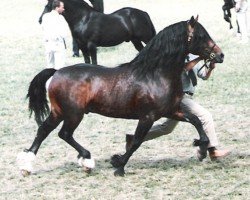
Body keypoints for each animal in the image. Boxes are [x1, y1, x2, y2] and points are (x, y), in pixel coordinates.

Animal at [18, 16, 225, 177]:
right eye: (201, 36)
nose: (220, 55)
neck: (155, 75)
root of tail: (57, 72)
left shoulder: (171, 111)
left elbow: (196, 121)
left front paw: (201, 147)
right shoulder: (148, 116)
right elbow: (136, 141)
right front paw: (119, 166)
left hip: (59, 112)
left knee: (43, 131)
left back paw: (27, 166)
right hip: (73, 114)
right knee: (64, 134)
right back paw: (87, 160)